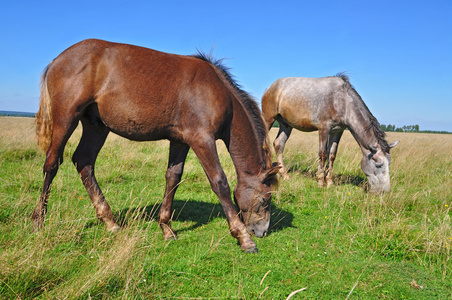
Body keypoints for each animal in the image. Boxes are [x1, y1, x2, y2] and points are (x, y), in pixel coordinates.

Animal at [31, 38, 278, 252]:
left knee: (84, 162)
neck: (219, 93)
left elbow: (173, 177)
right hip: (66, 119)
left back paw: (109, 221)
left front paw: (166, 228)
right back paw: (38, 220)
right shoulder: (202, 140)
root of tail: (58, 60)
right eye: (266, 199)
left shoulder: (180, 141)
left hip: (96, 127)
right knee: (52, 164)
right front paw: (242, 237)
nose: (262, 232)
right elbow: (219, 182)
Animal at [262, 74, 400, 193]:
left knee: (279, 144)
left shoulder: (337, 131)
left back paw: (284, 175)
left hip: (286, 125)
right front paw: (320, 181)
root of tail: (270, 87)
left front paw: (329, 182)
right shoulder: (324, 128)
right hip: (268, 119)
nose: (385, 190)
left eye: (389, 163)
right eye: (378, 165)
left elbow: (332, 154)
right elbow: (323, 154)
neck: (342, 102)